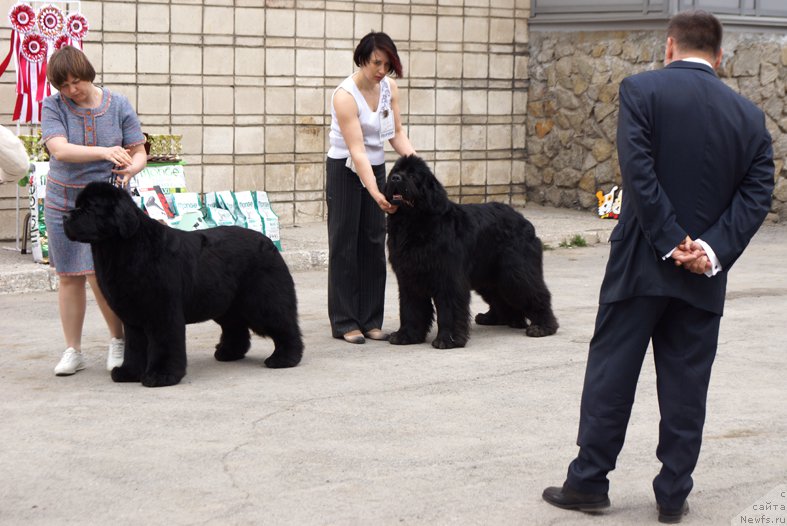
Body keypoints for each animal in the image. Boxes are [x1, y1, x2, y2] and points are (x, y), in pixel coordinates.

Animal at [63, 183, 304, 388]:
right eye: (77, 205)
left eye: (89, 207)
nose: (65, 216)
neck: (122, 248)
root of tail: (269, 242)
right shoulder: (133, 316)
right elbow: (134, 346)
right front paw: (129, 372)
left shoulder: (163, 311)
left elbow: (164, 343)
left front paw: (161, 376)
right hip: (225, 303)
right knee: (235, 327)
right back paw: (228, 353)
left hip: (262, 301)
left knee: (283, 324)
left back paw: (285, 358)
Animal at [384, 157, 560, 350]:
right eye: (395, 171)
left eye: (412, 175)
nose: (395, 178)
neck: (413, 222)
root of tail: (524, 221)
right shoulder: (409, 278)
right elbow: (410, 308)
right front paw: (406, 335)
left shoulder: (448, 278)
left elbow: (449, 309)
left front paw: (448, 339)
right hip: (490, 277)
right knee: (500, 296)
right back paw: (501, 319)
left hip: (515, 272)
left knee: (535, 292)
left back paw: (543, 326)